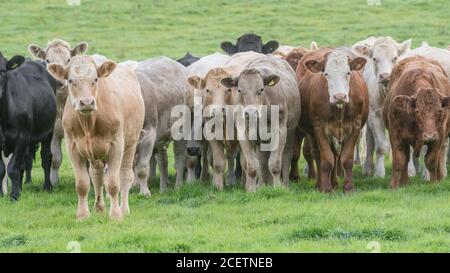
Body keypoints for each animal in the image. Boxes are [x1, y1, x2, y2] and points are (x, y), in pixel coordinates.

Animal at [0, 52, 57, 199]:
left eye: (2, 71)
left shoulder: (21, 137)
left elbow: (12, 168)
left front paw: (14, 196)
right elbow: (2, 169)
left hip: (48, 131)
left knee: (46, 157)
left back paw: (47, 187)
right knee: (24, 162)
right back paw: (20, 188)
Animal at [47, 55, 144, 219]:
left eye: (95, 79)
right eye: (71, 80)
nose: (87, 102)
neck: (89, 123)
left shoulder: (116, 145)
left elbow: (112, 183)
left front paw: (116, 215)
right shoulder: (72, 147)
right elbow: (82, 184)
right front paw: (82, 215)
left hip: (131, 143)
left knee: (125, 175)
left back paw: (124, 209)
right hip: (95, 153)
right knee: (97, 175)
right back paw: (99, 207)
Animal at [298, 47, 368, 191]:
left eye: (348, 73)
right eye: (326, 74)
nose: (339, 96)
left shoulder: (355, 126)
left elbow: (346, 159)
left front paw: (348, 187)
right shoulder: (319, 128)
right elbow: (326, 159)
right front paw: (325, 187)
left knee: (336, 156)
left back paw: (335, 182)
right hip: (312, 133)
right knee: (318, 155)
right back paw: (321, 183)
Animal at [354, 36, 414, 176]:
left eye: (395, 58)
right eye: (374, 58)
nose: (385, 76)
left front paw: (410, 170)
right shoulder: (375, 115)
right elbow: (381, 146)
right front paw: (379, 172)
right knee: (370, 140)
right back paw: (368, 167)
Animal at [384, 55, 450, 187]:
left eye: (439, 111)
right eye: (418, 111)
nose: (429, 136)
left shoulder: (439, 135)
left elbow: (432, 160)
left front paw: (433, 182)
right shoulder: (395, 134)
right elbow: (399, 160)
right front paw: (393, 185)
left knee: (439, 155)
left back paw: (440, 177)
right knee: (406, 159)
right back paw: (404, 182)